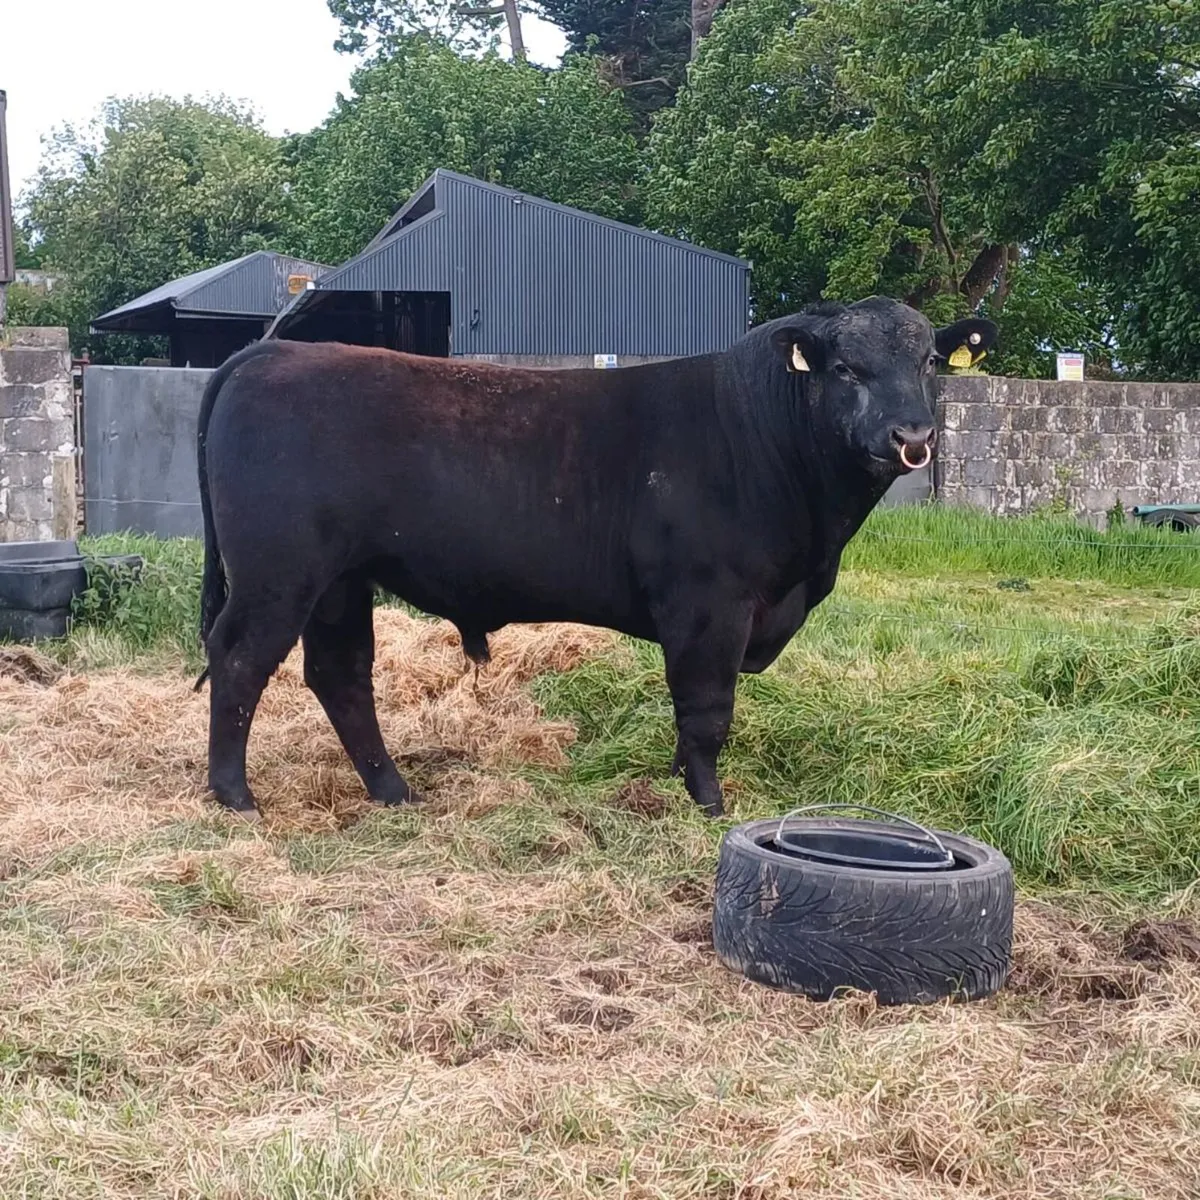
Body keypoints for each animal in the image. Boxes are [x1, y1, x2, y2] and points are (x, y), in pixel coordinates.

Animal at [194, 297, 996, 820]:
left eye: (929, 360)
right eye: (846, 368)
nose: (912, 436)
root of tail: (274, 350)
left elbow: (690, 715)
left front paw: (680, 784)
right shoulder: (710, 601)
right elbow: (707, 708)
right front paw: (709, 804)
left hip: (339, 581)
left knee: (340, 675)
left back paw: (393, 790)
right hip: (278, 574)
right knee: (239, 661)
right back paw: (235, 797)